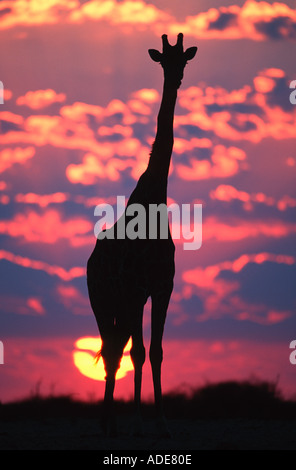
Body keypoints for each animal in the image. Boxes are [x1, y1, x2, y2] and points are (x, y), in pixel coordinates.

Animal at [86, 34, 197, 436]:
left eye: (185, 59)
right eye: (163, 60)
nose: (176, 78)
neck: (154, 197)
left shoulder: (163, 286)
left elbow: (157, 351)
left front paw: (162, 420)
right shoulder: (136, 289)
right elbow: (138, 352)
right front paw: (139, 418)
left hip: (122, 302)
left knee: (116, 348)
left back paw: (111, 421)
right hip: (103, 299)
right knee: (112, 348)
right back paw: (107, 422)